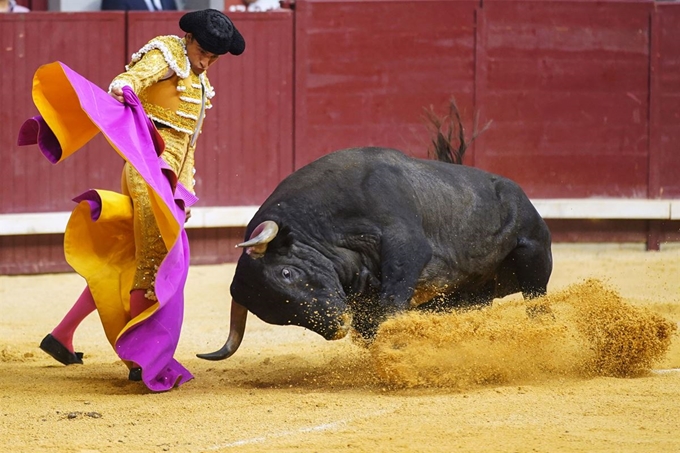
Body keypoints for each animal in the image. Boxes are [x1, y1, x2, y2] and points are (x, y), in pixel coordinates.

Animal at [197, 132, 552, 362]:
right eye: (273, 316)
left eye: (286, 273)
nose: (337, 326)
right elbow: (368, 327)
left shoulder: (406, 246)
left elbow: (392, 302)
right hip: (468, 297)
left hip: (533, 254)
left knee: (537, 302)